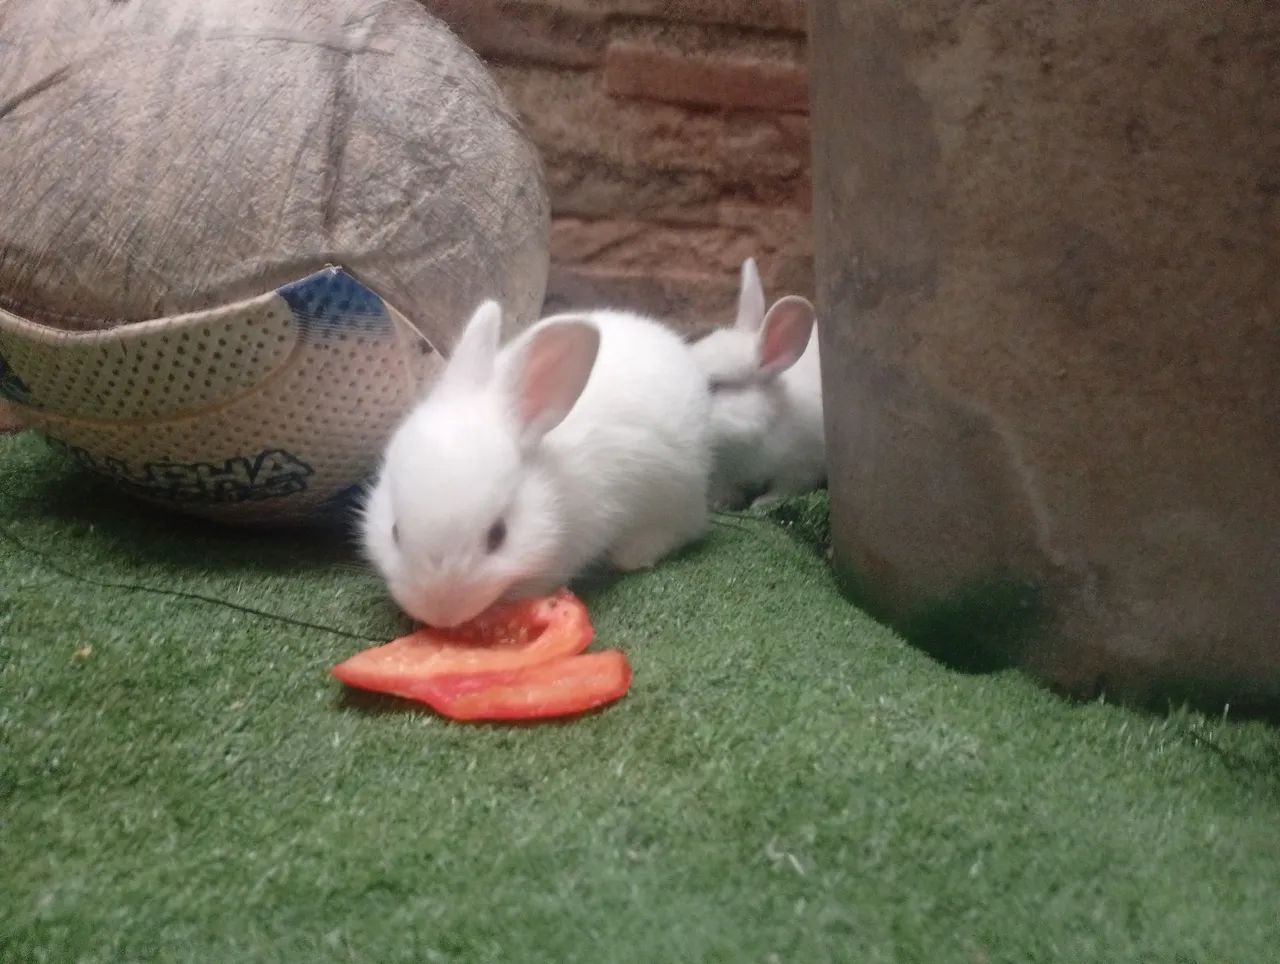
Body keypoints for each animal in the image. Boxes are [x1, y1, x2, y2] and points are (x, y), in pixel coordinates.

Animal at [690, 257, 825, 510]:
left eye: (714, 386)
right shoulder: (722, 474)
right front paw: (720, 503)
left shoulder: (801, 466)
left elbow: (785, 488)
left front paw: (762, 504)